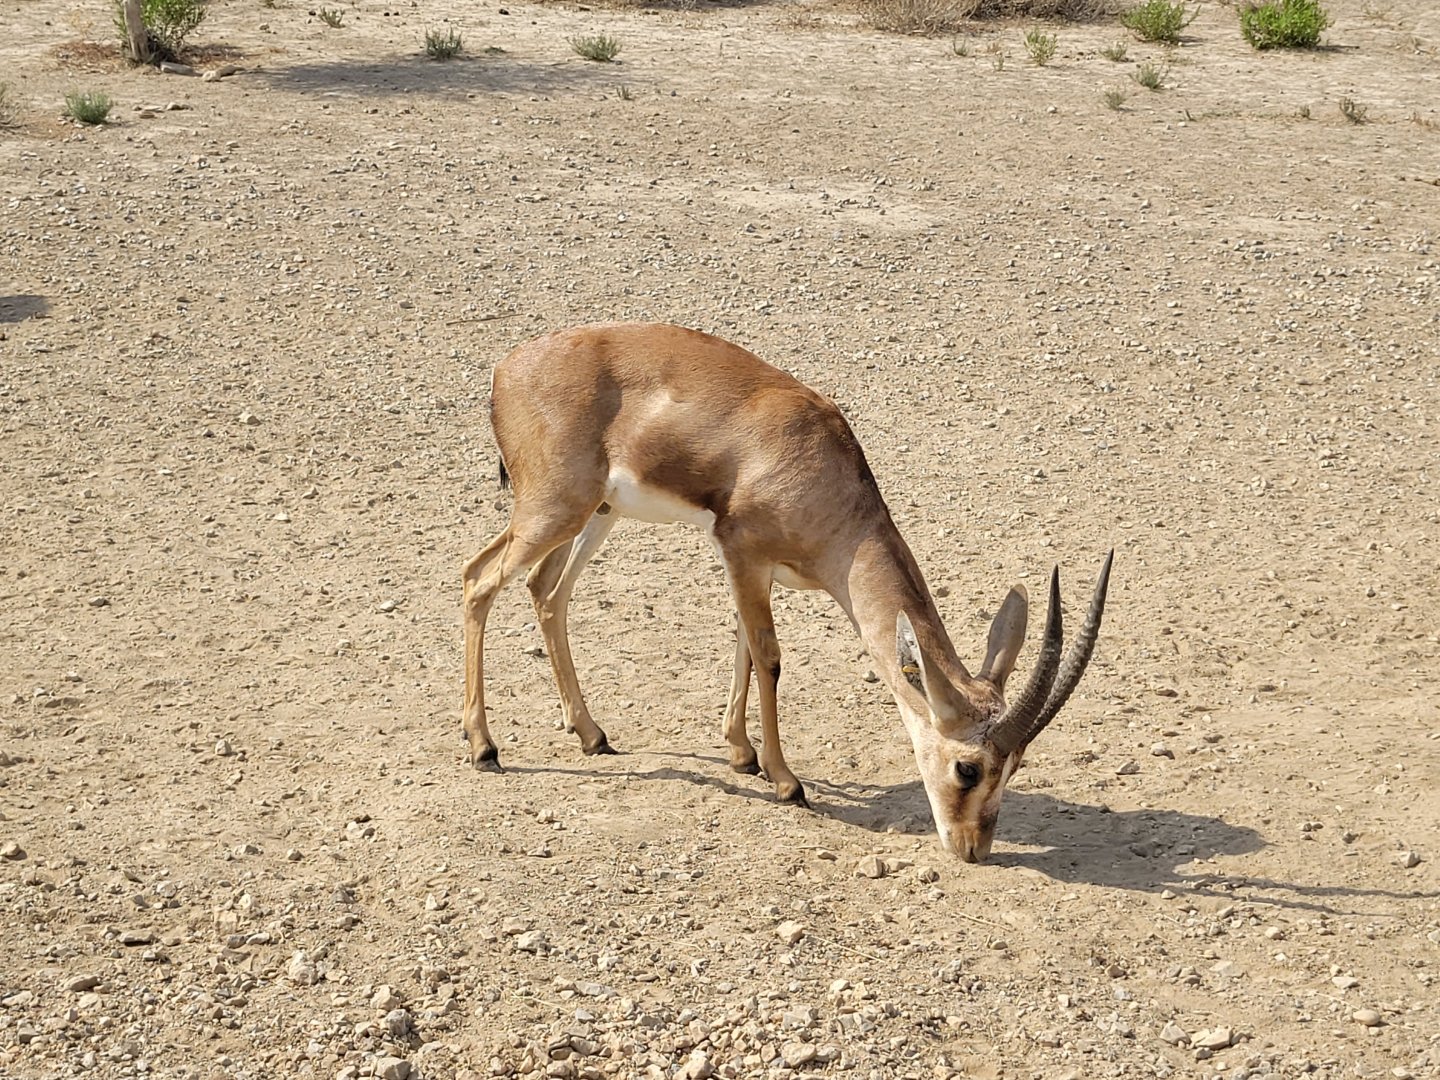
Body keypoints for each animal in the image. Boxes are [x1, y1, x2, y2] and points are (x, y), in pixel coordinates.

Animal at [463, 322, 1112, 862]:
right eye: (969, 769)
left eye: (1016, 766)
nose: (972, 847)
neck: (820, 472)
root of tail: (506, 368)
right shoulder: (742, 554)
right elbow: (770, 658)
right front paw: (785, 781)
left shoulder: (756, 571)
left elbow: (745, 651)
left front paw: (742, 754)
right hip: (554, 511)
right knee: (477, 582)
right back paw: (484, 748)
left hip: (594, 514)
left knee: (546, 591)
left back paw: (591, 734)